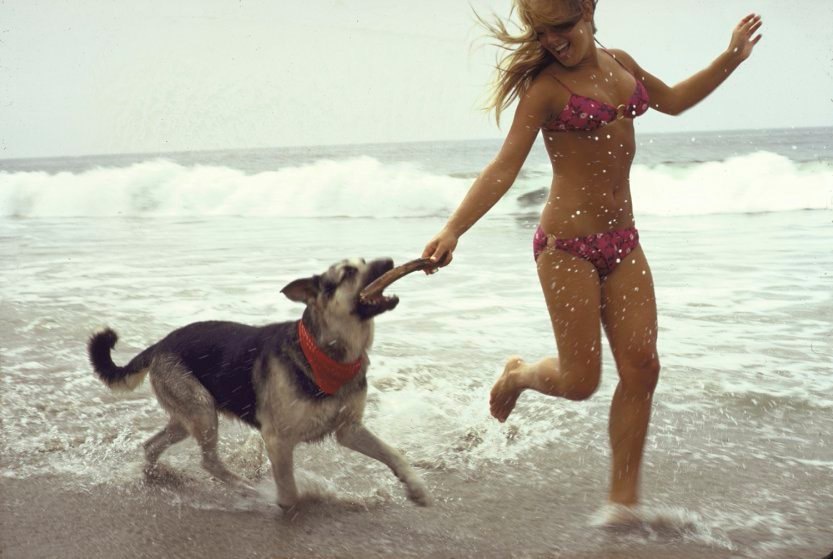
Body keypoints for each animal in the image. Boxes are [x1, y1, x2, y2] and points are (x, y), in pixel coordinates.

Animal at [88, 260, 432, 512]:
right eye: (348, 272)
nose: (389, 261)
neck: (326, 354)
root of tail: (161, 344)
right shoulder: (278, 440)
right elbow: (289, 492)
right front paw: (290, 502)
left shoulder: (349, 429)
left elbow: (393, 453)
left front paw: (416, 489)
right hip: (202, 410)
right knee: (208, 460)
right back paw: (245, 487)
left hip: (188, 415)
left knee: (152, 445)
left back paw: (155, 474)